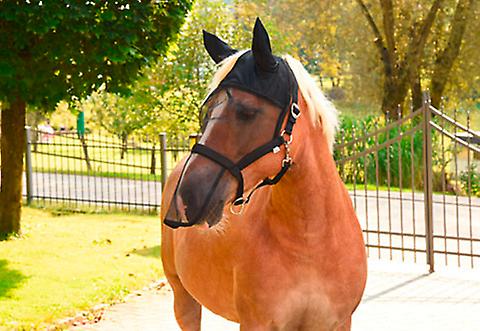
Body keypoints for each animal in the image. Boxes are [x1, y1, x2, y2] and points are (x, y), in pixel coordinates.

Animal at [161, 18, 368, 331]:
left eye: (247, 112)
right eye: (206, 111)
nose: (185, 200)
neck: (310, 241)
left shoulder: (338, 323)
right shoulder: (255, 323)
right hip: (183, 298)